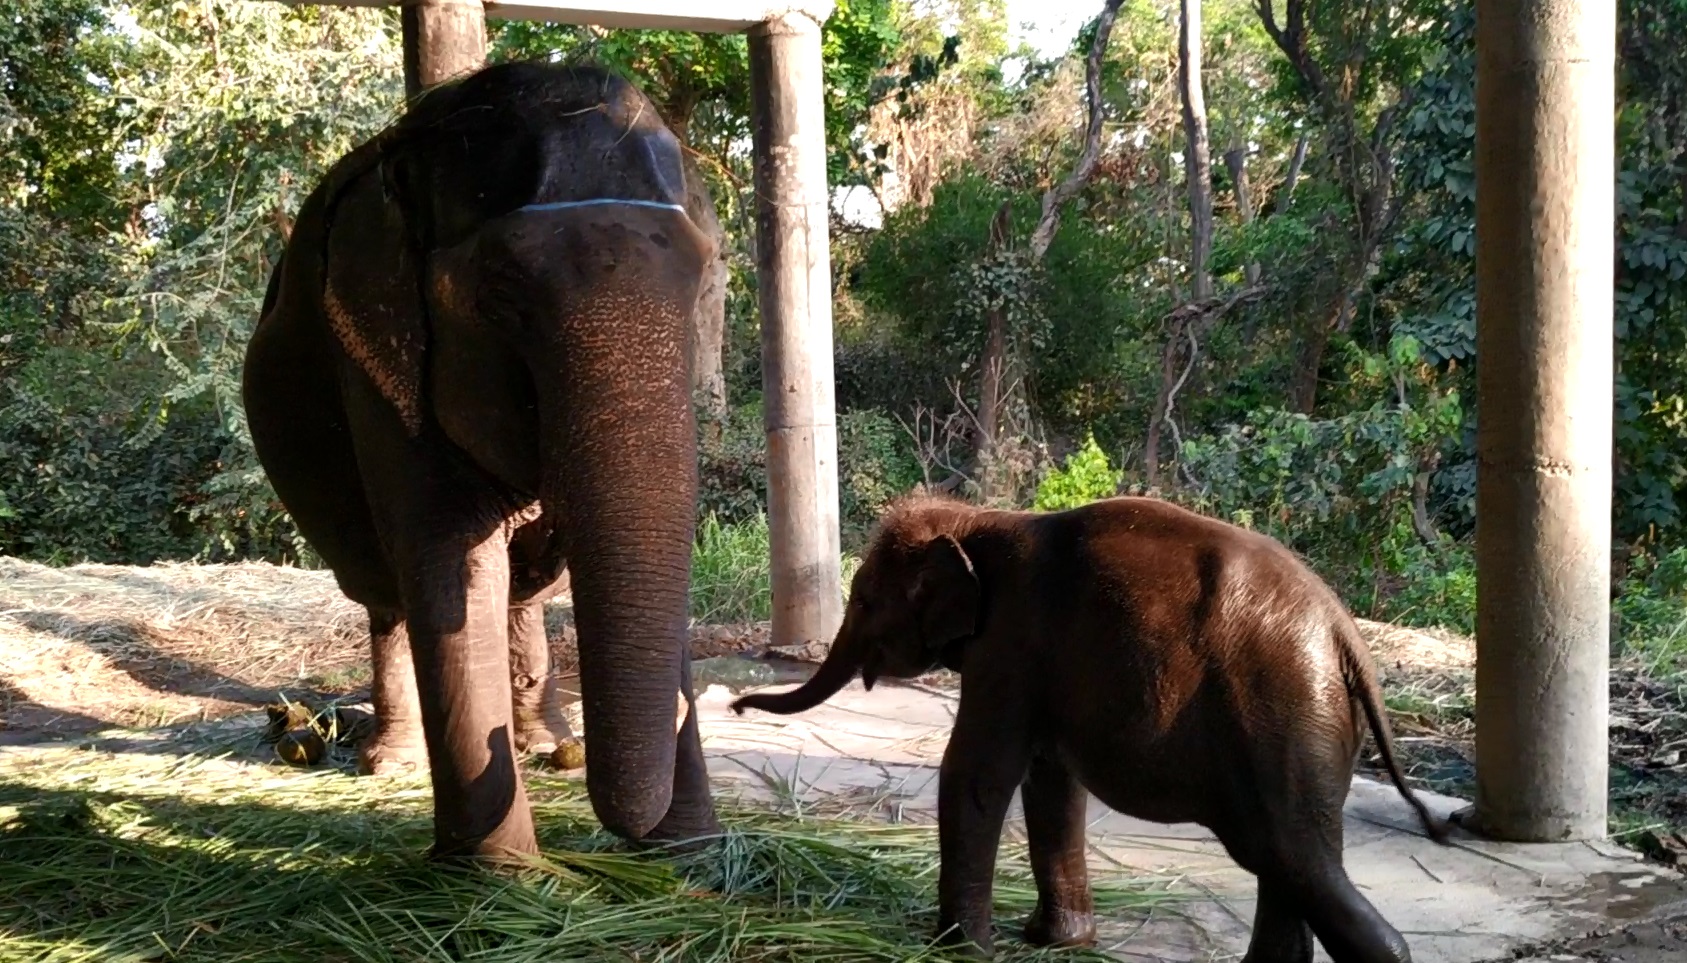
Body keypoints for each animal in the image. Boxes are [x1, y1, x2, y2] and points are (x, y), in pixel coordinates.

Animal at [246, 60, 722, 860]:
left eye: (704, 281)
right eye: (502, 297)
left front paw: (694, 852)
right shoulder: (379, 363)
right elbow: (451, 565)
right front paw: (496, 871)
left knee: (524, 589)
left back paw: (545, 743)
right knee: (388, 595)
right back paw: (394, 763)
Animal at [735, 495, 1450, 963]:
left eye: (862, 600)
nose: (740, 706)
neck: (975, 517)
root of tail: (1344, 634)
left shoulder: (1011, 643)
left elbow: (979, 775)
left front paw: (957, 951)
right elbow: (1050, 783)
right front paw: (1056, 942)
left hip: (1280, 719)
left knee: (1290, 856)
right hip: (1305, 729)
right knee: (1290, 860)